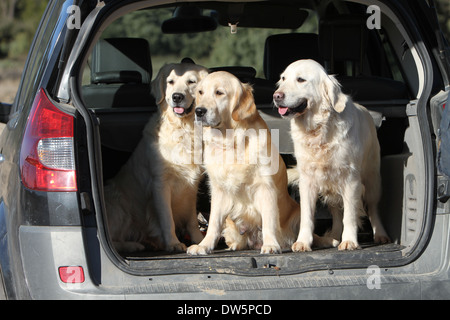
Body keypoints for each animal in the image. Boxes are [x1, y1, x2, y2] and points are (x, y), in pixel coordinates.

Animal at [104, 62, 208, 252]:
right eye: (171, 82)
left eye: (191, 82)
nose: (177, 96)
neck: (183, 129)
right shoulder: (160, 183)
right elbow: (167, 219)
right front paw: (173, 243)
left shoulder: (192, 184)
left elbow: (191, 219)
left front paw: (198, 240)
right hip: (120, 207)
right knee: (111, 239)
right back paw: (134, 245)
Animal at [272, 58, 388, 251]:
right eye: (283, 78)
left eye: (301, 80)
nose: (276, 96)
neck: (317, 130)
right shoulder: (307, 181)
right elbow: (307, 216)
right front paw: (303, 242)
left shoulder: (351, 179)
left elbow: (350, 215)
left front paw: (349, 241)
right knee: (336, 211)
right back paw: (333, 235)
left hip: (372, 180)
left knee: (373, 208)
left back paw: (380, 234)